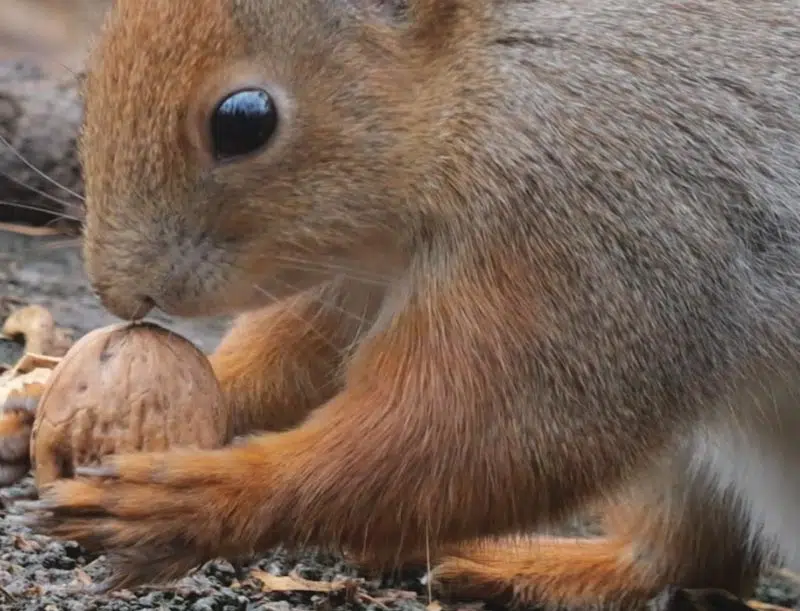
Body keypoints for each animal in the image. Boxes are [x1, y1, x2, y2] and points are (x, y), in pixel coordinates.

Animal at [1, 0, 800, 608]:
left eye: (244, 120)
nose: (118, 293)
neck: (481, 82)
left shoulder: (601, 214)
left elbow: (495, 428)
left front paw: (201, 497)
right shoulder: (348, 268)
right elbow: (294, 357)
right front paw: (36, 400)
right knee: (690, 559)